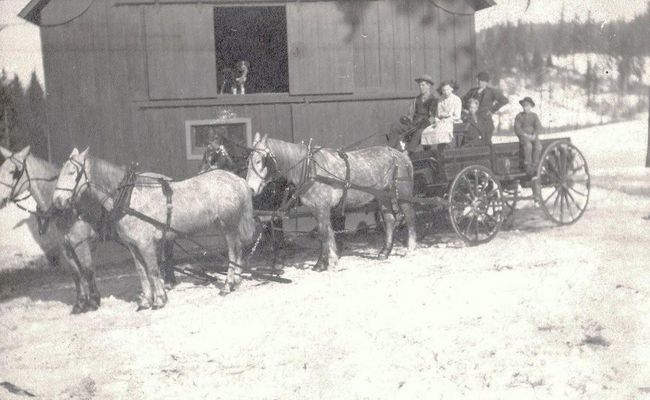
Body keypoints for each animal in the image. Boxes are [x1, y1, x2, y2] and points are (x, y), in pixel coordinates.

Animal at [0, 145, 104, 314]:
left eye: (13, 171)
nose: (0, 199)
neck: (68, 209)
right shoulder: (66, 246)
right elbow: (76, 273)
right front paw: (80, 304)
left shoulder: (80, 244)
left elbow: (87, 269)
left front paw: (94, 302)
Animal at [53, 148, 256, 310]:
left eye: (72, 172)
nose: (57, 201)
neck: (129, 198)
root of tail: (237, 180)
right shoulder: (133, 246)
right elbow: (142, 273)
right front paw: (145, 302)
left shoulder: (146, 244)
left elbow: (152, 270)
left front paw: (159, 300)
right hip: (224, 226)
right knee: (238, 250)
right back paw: (236, 281)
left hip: (229, 226)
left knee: (233, 253)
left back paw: (228, 285)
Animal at [243, 133, 416, 270]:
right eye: (248, 161)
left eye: (259, 161)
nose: (250, 188)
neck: (310, 168)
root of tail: (401, 155)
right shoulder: (316, 209)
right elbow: (322, 233)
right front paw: (320, 264)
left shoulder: (322, 207)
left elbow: (326, 233)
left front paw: (331, 262)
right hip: (382, 196)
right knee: (390, 219)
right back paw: (384, 252)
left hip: (403, 193)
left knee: (409, 217)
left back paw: (411, 248)